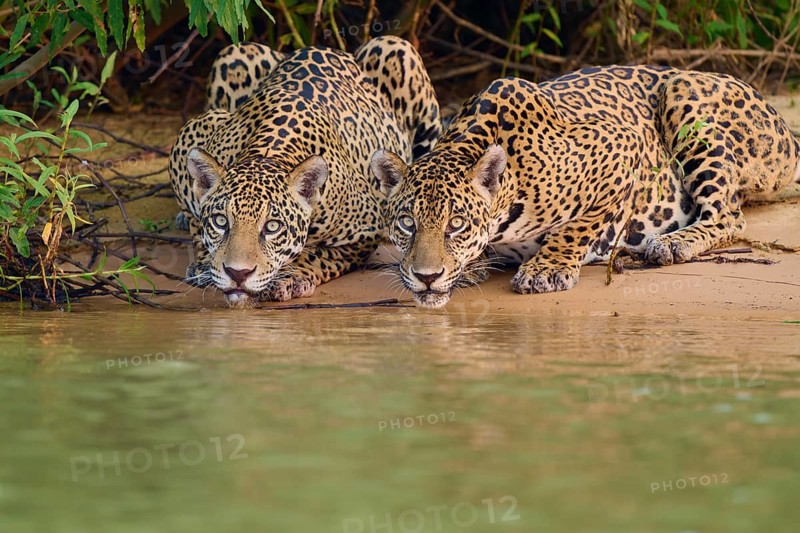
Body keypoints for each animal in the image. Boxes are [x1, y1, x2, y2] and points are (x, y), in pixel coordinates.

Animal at [168, 36, 441, 306]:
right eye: (221, 221)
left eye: (272, 227)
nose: (238, 274)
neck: (268, 151)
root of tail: (322, 47)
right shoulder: (193, 132)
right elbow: (197, 223)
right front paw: (205, 264)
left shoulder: (364, 230)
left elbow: (318, 254)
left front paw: (292, 276)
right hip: (236, 52)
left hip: (399, 53)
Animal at [371, 66, 800, 308]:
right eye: (407, 223)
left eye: (456, 224)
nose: (426, 276)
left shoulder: (620, 147)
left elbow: (578, 227)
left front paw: (547, 268)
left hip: (685, 96)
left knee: (728, 215)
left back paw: (672, 243)